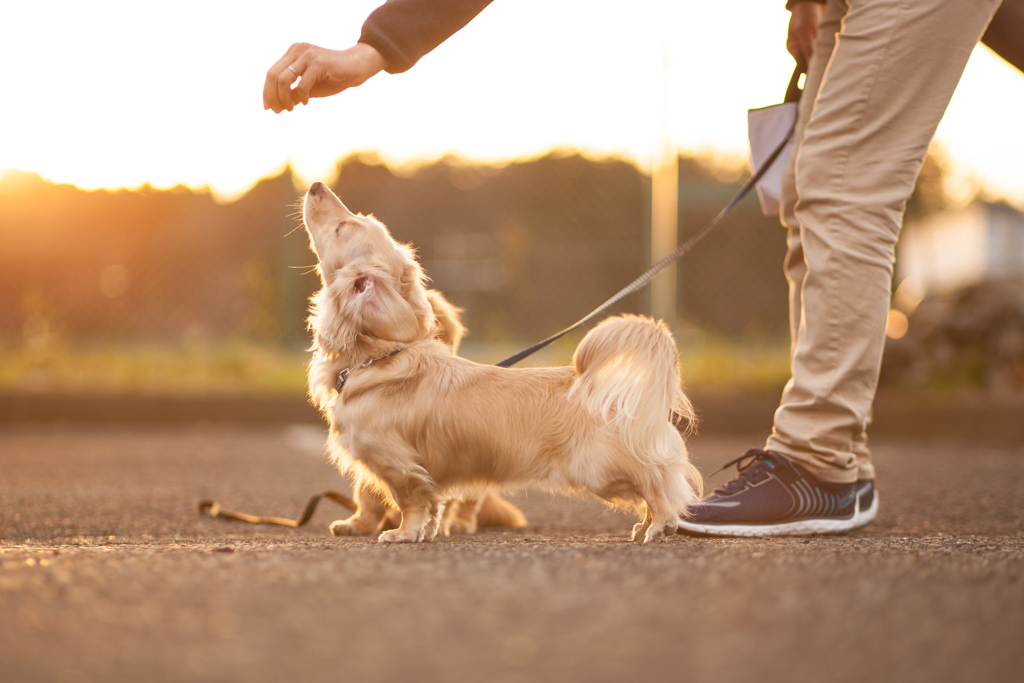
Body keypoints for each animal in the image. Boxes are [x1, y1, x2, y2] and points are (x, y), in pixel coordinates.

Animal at [301, 181, 704, 544]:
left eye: (343, 226)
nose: (316, 184)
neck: (377, 360)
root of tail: (622, 394)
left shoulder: (401, 468)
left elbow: (411, 503)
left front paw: (403, 534)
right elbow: (432, 506)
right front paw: (425, 532)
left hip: (601, 471)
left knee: (656, 483)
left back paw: (659, 525)